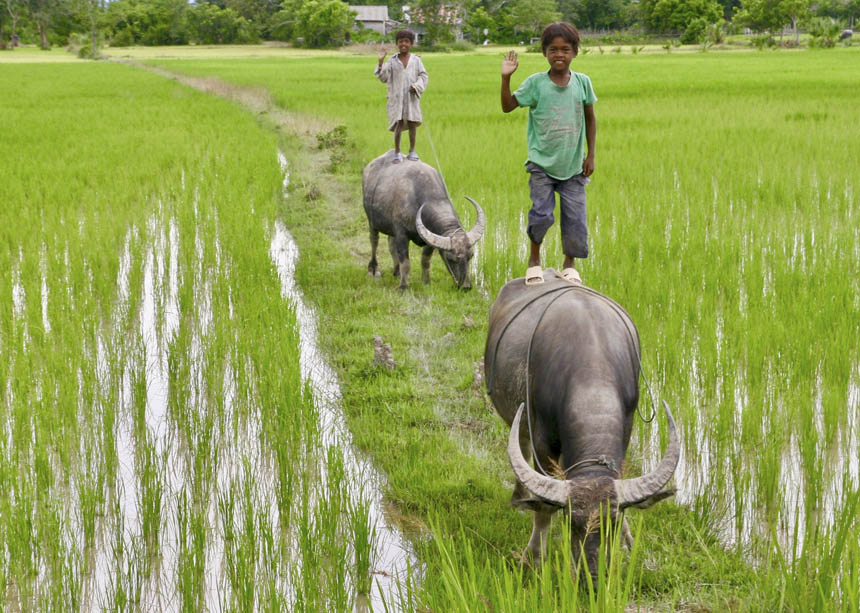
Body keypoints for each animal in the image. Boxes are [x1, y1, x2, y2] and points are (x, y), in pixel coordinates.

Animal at [362, 151, 484, 290]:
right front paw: (403, 286)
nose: (466, 287)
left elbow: (425, 260)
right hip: (372, 221)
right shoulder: (401, 234)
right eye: (450, 258)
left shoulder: (428, 239)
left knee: (390, 243)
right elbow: (406, 262)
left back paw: (396, 271)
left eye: (471, 256)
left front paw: (426, 282)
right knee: (374, 242)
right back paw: (373, 269)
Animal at [484, 272, 680, 580]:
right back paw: (518, 498)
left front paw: (627, 542)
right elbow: (543, 509)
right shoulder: (543, 444)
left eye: (614, 522)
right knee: (522, 446)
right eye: (571, 523)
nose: (594, 579)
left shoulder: (627, 431)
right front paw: (535, 557)